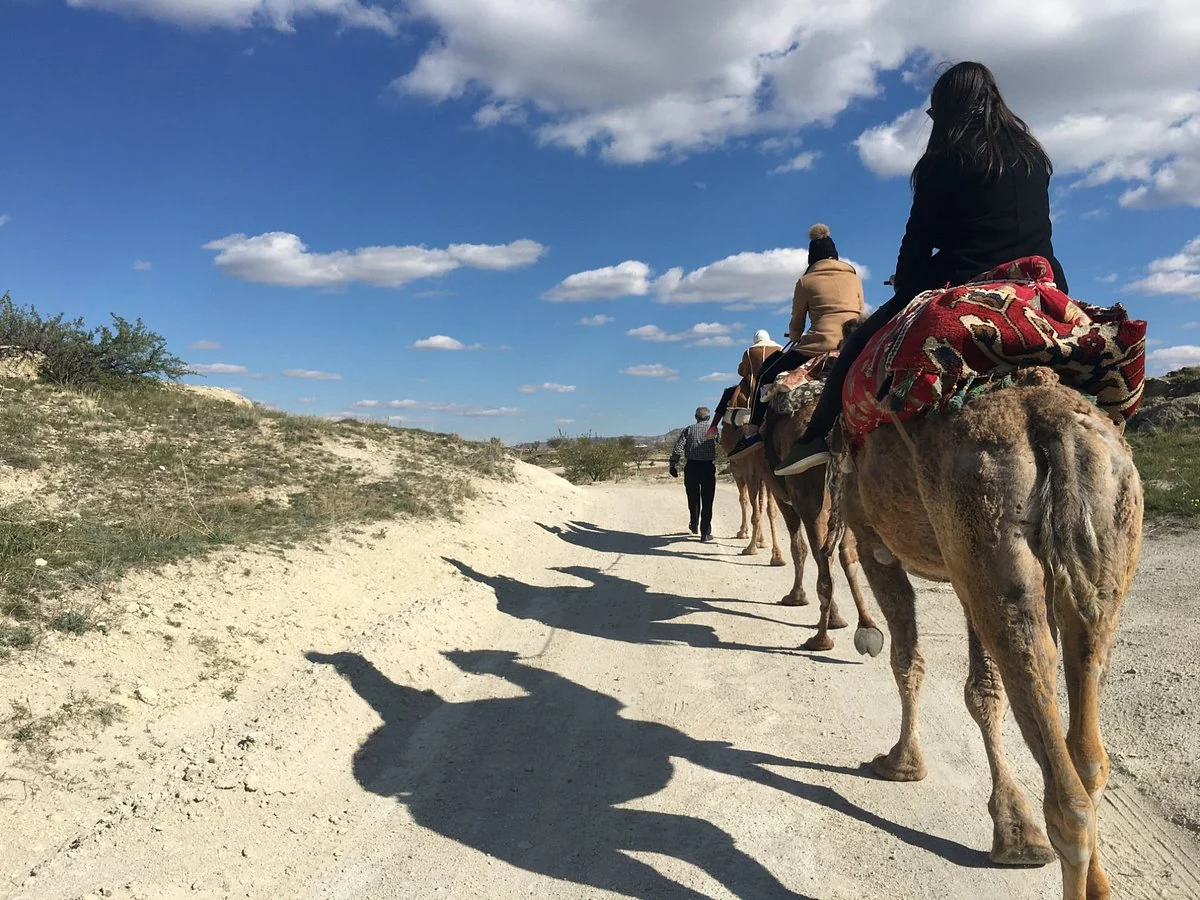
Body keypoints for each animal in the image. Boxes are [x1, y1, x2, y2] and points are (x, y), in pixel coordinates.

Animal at [833, 367, 1143, 900]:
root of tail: (1051, 422)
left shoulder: (876, 542)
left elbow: (907, 658)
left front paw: (901, 764)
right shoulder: (959, 573)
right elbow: (983, 689)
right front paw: (1014, 833)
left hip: (985, 518)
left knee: (1068, 800)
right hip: (1100, 525)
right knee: (1087, 743)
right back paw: (1099, 882)